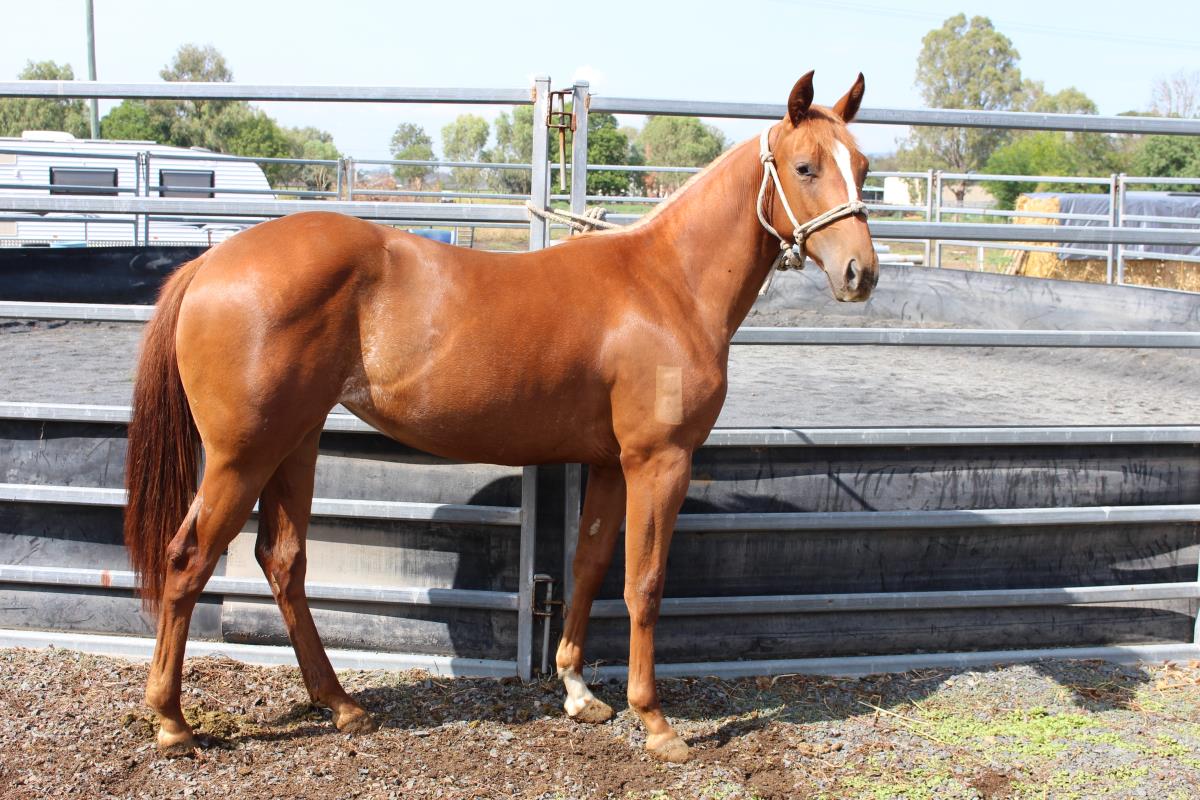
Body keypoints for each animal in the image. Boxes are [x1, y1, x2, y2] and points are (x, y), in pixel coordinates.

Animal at [123, 71, 877, 763]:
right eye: (805, 167)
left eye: (863, 167)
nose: (860, 273)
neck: (667, 284)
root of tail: (210, 265)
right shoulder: (658, 462)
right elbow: (645, 583)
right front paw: (657, 723)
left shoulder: (611, 464)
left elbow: (588, 564)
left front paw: (578, 691)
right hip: (241, 457)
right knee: (188, 561)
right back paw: (172, 722)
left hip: (295, 444)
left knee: (283, 562)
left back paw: (340, 704)